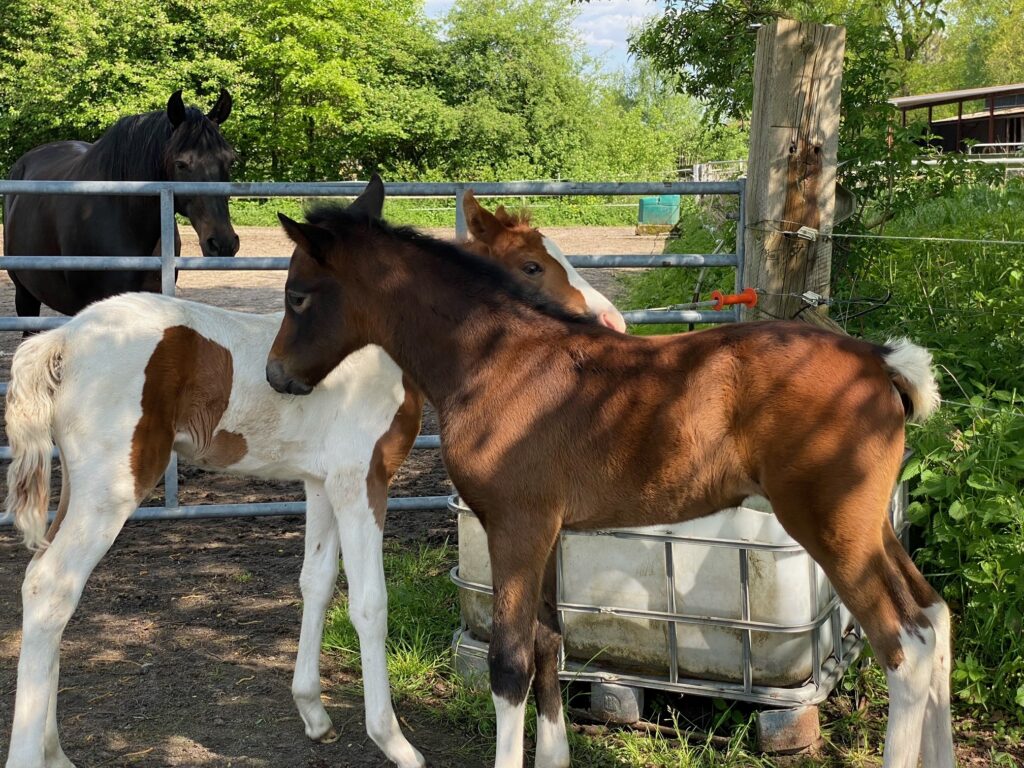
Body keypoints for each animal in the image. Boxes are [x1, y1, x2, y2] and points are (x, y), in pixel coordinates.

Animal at [2, 182, 622, 768]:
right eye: (533, 266)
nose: (611, 321)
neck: (378, 352)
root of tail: (62, 340)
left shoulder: (322, 483)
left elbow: (316, 582)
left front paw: (314, 713)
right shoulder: (361, 482)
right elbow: (369, 603)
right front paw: (394, 742)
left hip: (78, 487)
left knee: (46, 586)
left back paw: (56, 749)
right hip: (112, 489)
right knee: (50, 585)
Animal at [268, 205, 954, 768]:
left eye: (297, 296)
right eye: (533, 264)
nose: (277, 376)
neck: (499, 361)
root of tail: (880, 361)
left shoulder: (515, 526)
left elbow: (509, 663)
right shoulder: (546, 532)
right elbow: (549, 644)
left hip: (832, 530)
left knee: (905, 644)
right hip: (871, 528)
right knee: (935, 618)